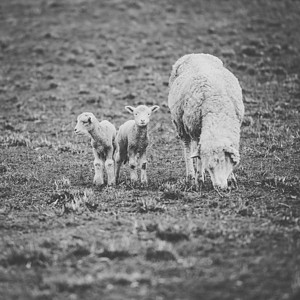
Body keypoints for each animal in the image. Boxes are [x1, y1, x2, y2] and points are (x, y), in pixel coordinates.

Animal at [168, 52, 245, 191]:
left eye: (221, 160)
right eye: (210, 167)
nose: (219, 187)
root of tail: (194, 54)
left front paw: (231, 179)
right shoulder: (195, 131)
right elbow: (199, 159)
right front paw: (199, 180)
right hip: (181, 124)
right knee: (187, 148)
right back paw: (191, 176)